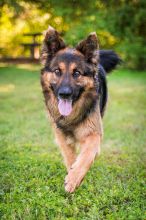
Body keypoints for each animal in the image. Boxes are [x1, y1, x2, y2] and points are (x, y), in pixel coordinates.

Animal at [40, 26, 120, 192]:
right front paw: (72, 174)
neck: (72, 115)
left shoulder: (93, 133)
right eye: (57, 71)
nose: (64, 94)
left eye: (76, 73)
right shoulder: (61, 135)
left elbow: (86, 156)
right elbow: (70, 157)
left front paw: (74, 178)